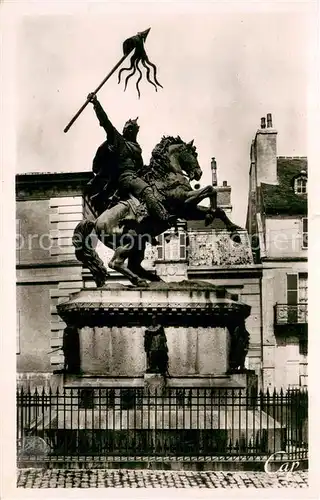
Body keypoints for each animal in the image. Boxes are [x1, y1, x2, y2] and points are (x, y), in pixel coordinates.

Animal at [73, 136, 242, 286]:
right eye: (193, 154)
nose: (198, 173)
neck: (167, 175)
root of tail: (96, 221)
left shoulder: (186, 209)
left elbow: (220, 210)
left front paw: (233, 232)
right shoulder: (183, 199)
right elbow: (209, 190)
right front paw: (210, 213)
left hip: (139, 244)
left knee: (134, 265)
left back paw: (156, 280)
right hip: (130, 239)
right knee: (116, 263)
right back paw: (140, 281)